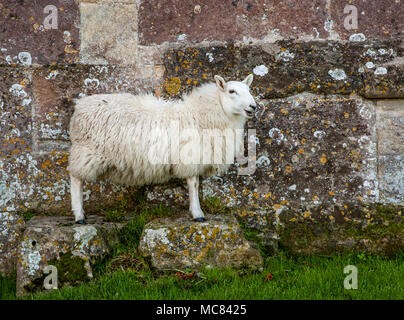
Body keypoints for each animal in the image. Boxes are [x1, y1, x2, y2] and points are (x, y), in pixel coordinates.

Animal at [66, 75, 256, 225]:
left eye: (248, 89)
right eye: (232, 91)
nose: (254, 106)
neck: (200, 114)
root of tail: (80, 106)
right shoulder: (190, 156)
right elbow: (194, 184)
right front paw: (197, 214)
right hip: (87, 151)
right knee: (76, 178)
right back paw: (79, 215)